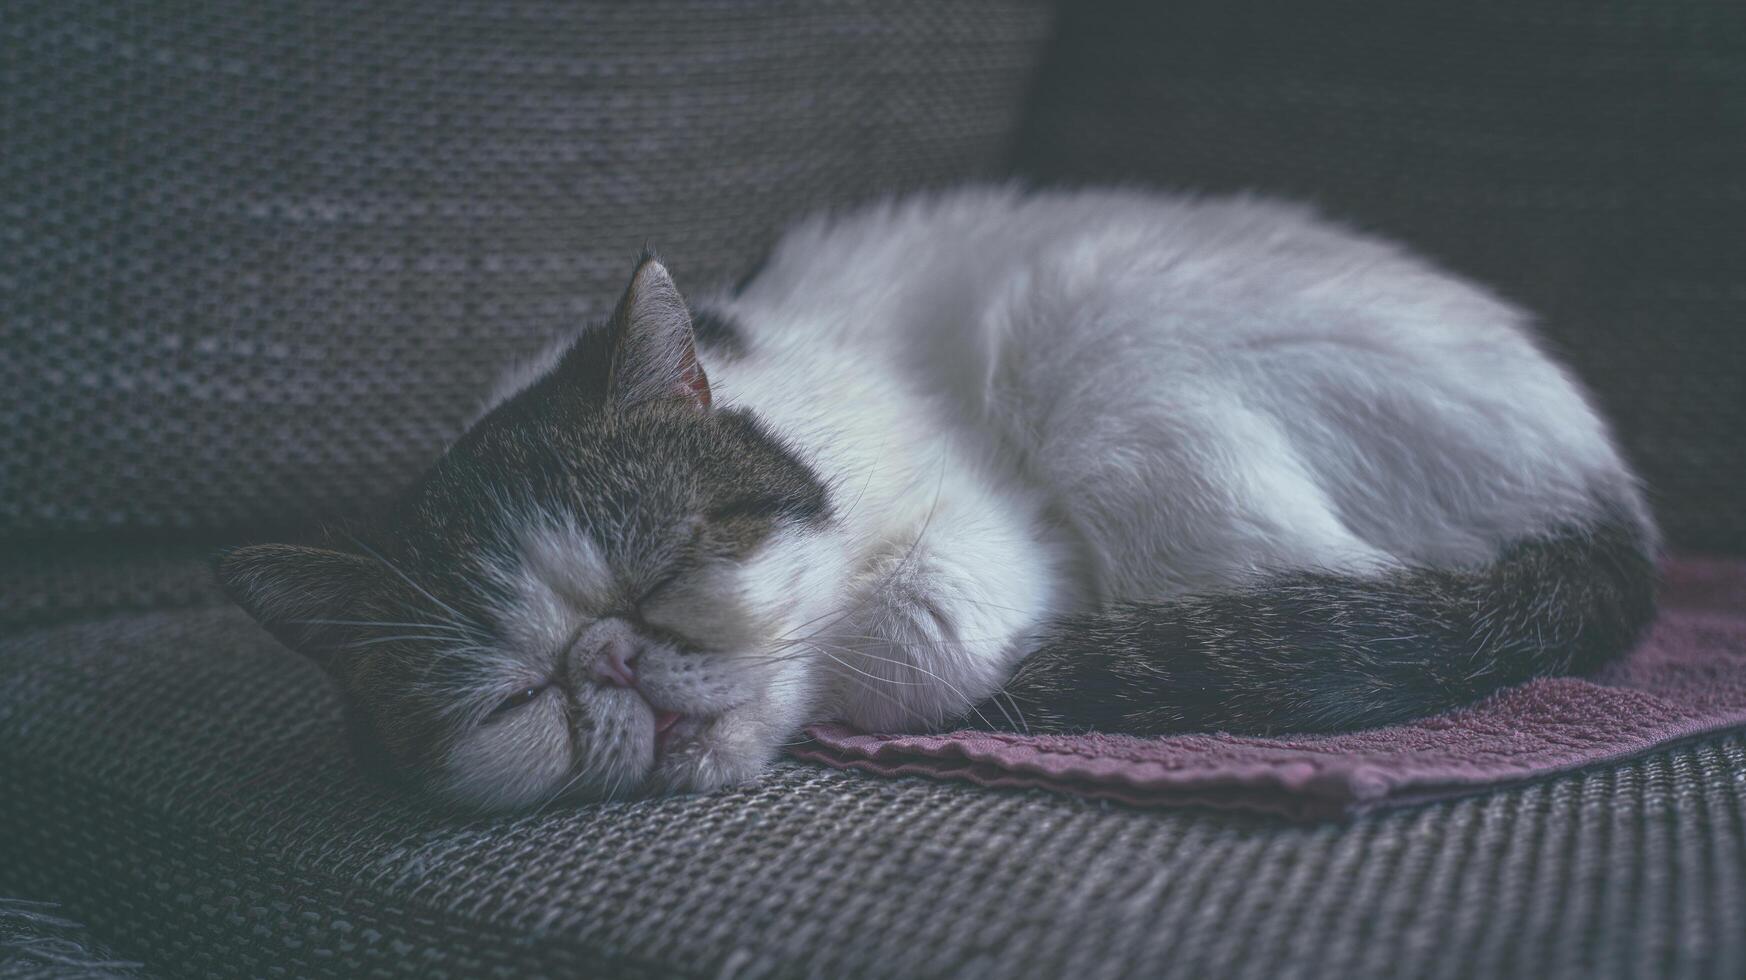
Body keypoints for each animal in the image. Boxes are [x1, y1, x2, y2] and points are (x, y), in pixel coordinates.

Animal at [214, 185, 1648, 810]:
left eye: (670, 568)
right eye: (515, 698)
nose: (612, 658)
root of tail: (1608, 494)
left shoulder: (988, 531)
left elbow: (910, 640)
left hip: (1095, 341)